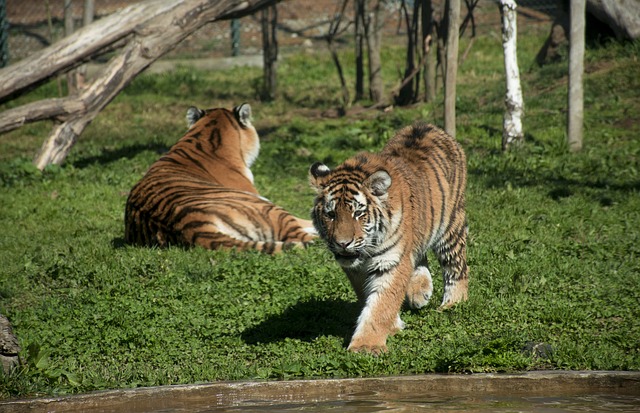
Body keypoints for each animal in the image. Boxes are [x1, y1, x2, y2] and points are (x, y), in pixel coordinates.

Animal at [308, 120, 468, 352]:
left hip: (451, 224)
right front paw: (393, 325)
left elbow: (382, 303)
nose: (343, 243)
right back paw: (420, 291)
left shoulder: (390, 262)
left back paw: (453, 303)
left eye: (358, 213)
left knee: (457, 265)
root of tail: (426, 125)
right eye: (330, 214)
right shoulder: (356, 270)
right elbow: (369, 297)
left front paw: (366, 345)